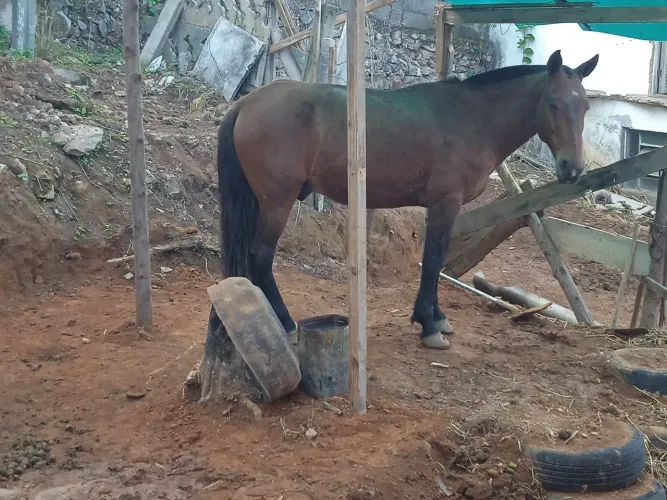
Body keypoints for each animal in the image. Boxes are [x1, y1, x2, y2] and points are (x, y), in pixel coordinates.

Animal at [211, 49, 599, 350]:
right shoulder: (444, 204)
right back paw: (287, 323)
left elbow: (438, 263)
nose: (572, 168)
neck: (473, 119)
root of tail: (247, 103)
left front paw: (437, 318)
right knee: (260, 257)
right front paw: (428, 326)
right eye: (553, 104)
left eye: (585, 106)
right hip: (277, 200)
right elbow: (432, 262)